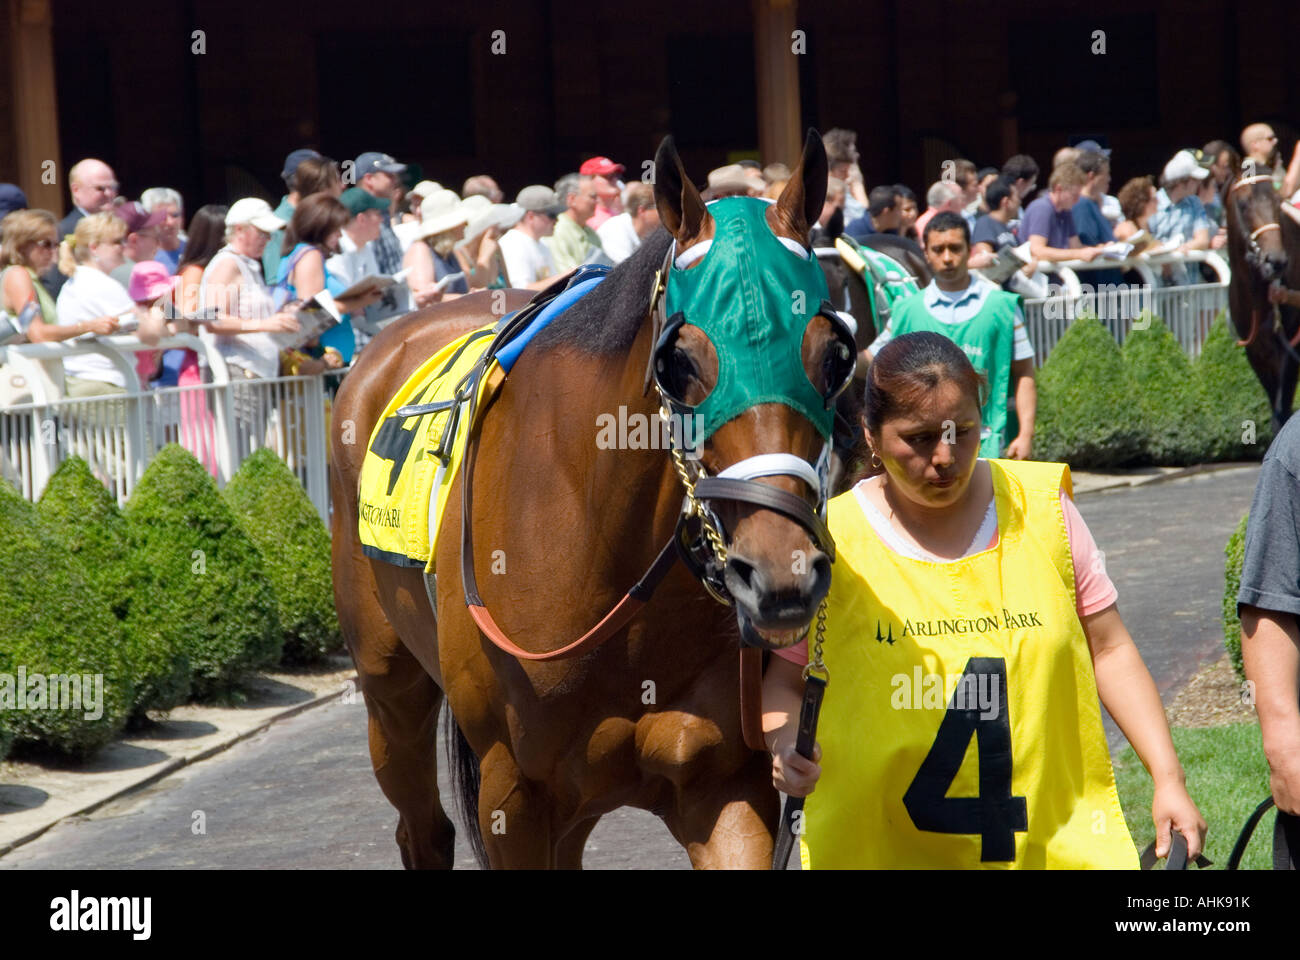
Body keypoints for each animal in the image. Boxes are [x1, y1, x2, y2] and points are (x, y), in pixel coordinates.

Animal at [331, 131, 855, 868]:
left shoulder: (722, 782)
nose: (783, 575)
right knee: (422, 827)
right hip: (389, 690)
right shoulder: (512, 794)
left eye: (835, 355)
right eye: (679, 361)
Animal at [1224, 167, 1300, 432]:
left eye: (1277, 202)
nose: (1276, 261)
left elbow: (1282, 411)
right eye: (1243, 203)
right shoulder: (1256, 352)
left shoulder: (1292, 347)